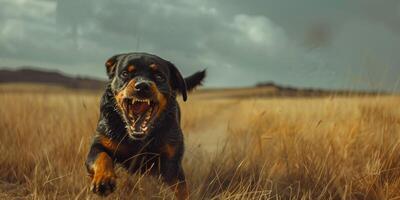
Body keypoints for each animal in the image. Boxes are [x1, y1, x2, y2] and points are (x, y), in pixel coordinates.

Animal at [83, 52, 203, 199]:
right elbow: (102, 156)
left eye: (159, 76)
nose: (142, 86)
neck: (137, 140)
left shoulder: (172, 164)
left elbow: (181, 190)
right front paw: (103, 179)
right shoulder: (99, 143)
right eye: (125, 74)